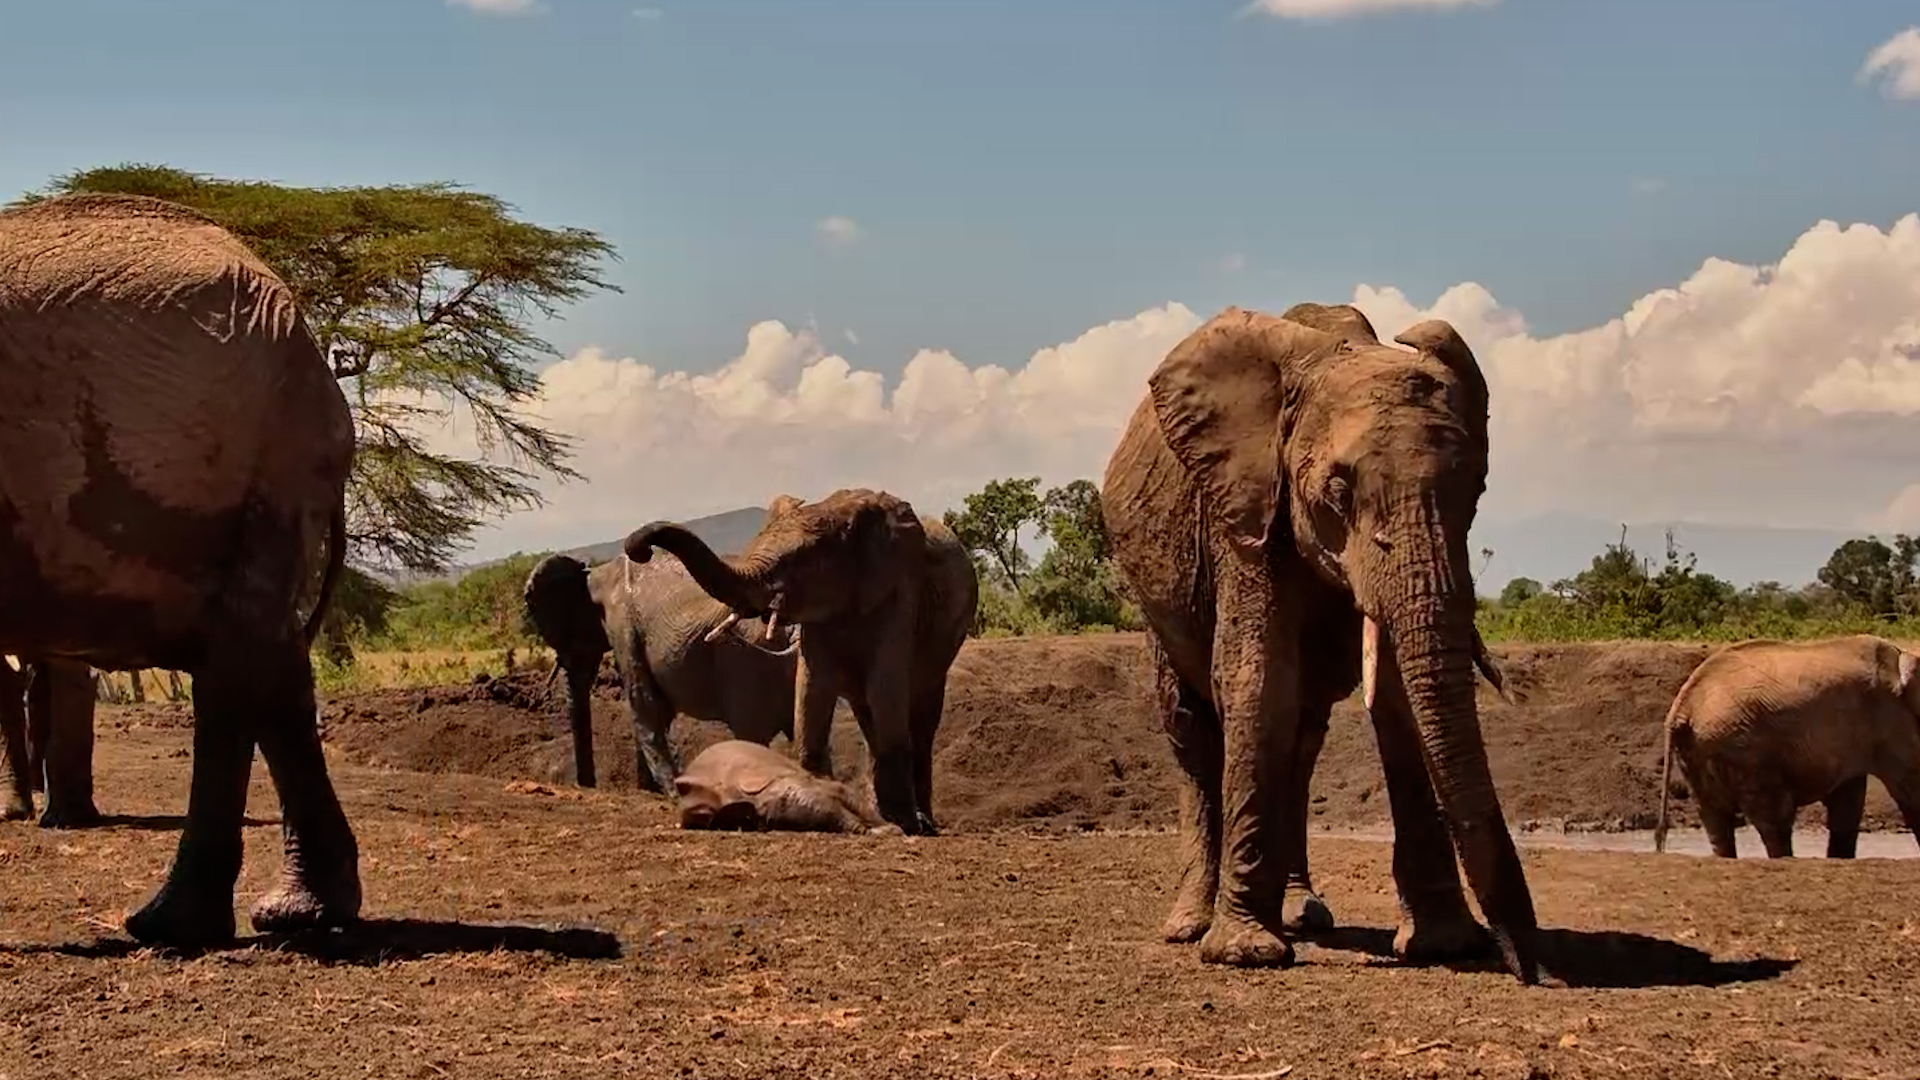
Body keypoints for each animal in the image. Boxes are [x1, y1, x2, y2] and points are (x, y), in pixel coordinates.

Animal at [521, 548, 802, 793]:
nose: (587, 785)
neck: (595, 575)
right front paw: (649, 790)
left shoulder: (625, 629)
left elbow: (645, 704)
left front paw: (672, 791)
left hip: (747, 661)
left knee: (752, 735)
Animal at [1100, 302, 1541, 983]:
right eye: (1337, 492)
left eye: (1476, 487)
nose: (1529, 966)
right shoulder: (1246, 510)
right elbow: (1257, 678)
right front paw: (1244, 955)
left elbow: (1396, 700)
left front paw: (1444, 946)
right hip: (1153, 597)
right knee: (1191, 727)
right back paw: (1189, 925)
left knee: (1303, 742)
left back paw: (1304, 914)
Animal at [1654, 633, 1920, 859]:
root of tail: (1681, 707)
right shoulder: (1889, 716)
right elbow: (1907, 783)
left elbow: (1847, 799)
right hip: (1741, 749)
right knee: (1775, 816)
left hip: (1699, 750)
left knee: (1716, 820)